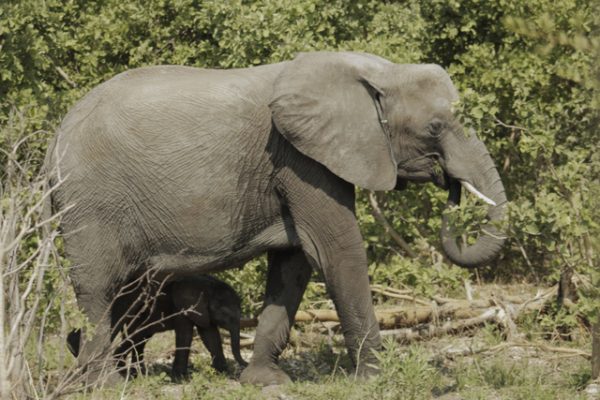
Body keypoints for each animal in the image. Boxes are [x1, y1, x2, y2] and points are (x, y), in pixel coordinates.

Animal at [69, 276, 247, 378]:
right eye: (225, 313)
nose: (245, 365)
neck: (208, 285)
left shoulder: (202, 311)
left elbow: (211, 336)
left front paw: (223, 373)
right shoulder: (181, 306)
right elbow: (186, 334)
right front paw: (180, 378)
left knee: (139, 341)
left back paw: (136, 373)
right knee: (132, 336)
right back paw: (122, 371)